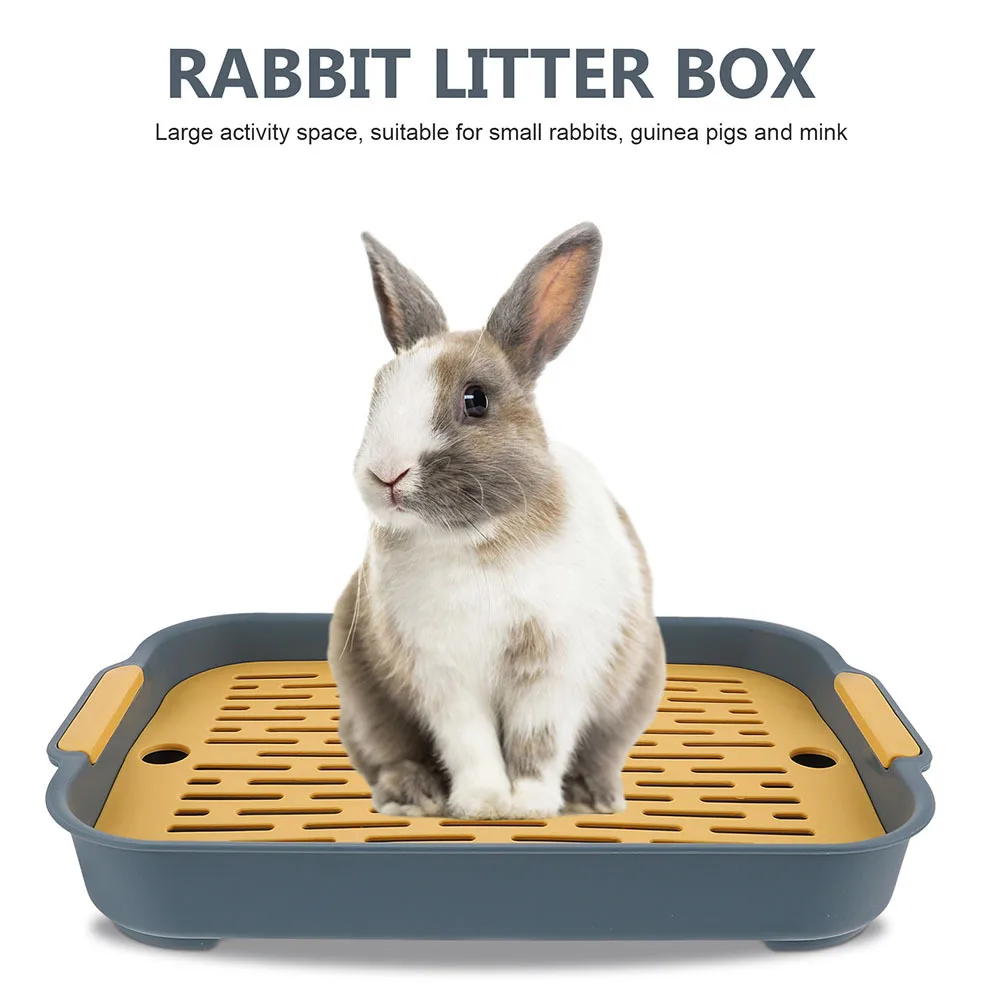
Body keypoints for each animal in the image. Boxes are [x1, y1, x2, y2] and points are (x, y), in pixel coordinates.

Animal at [328, 222, 666, 820]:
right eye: (377, 391)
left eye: (475, 400)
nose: (386, 474)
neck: (475, 540)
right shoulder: (444, 676)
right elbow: (471, 742)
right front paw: (483, 803)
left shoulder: (554, 669)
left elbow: (539, 741)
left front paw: (528, 805)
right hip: (364, 703)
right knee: (387, 753)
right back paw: (413, 797)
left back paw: (594, 798)